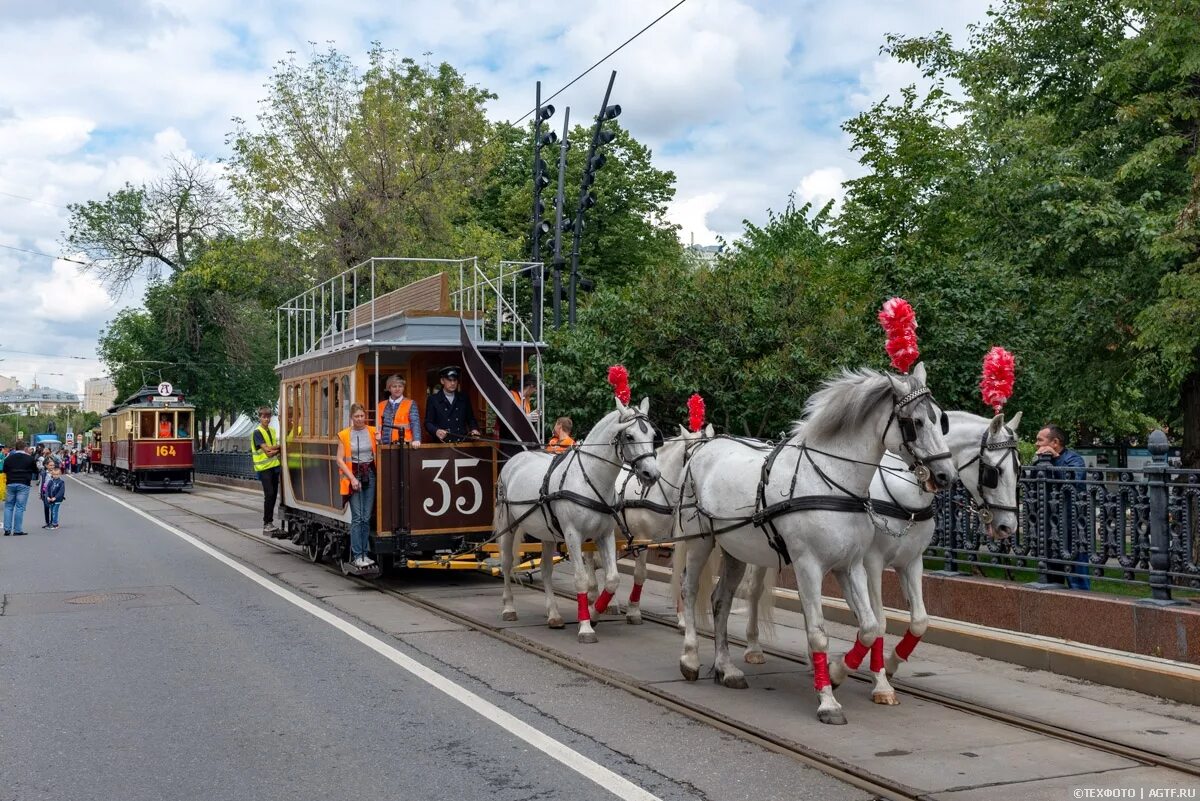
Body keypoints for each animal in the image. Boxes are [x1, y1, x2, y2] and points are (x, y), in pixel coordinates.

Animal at [496, 395, 667, 642]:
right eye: (629, 436)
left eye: (653, 436)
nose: (651, 474)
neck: (590, 478)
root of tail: (516, 458)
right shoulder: (573, 535)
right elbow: (581, 578)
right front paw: (586, 626)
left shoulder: (604, 535)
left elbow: (612, 578)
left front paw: (595, 613)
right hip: (508, 524)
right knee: (507, 563)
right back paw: (509, 607)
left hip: (547, 533)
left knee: (546, 570)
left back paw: (554, 614)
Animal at [672, 366, 950, 724]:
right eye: (914, 422)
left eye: (941, 419)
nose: (945, 475)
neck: (831, 481)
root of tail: (704, 448)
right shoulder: (809, 566)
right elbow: (818, 632)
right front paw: (828, 700)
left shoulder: (851, 566)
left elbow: (870, 626)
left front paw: (836, 672)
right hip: (699, 541)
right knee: (690, 591)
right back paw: (690, 658)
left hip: (736, 551)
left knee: (721, 601)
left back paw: (726, 668)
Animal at [739, 410, 1022, 705]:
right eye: (994, 472)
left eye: (1019, 470)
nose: (1008, 527)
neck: (903, 494)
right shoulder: (872, 563)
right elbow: (881, 621)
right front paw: (878, 682)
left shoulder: (911, 562)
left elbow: (919, 621)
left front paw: (890, 663)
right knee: (754, 591)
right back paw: (754, 647)